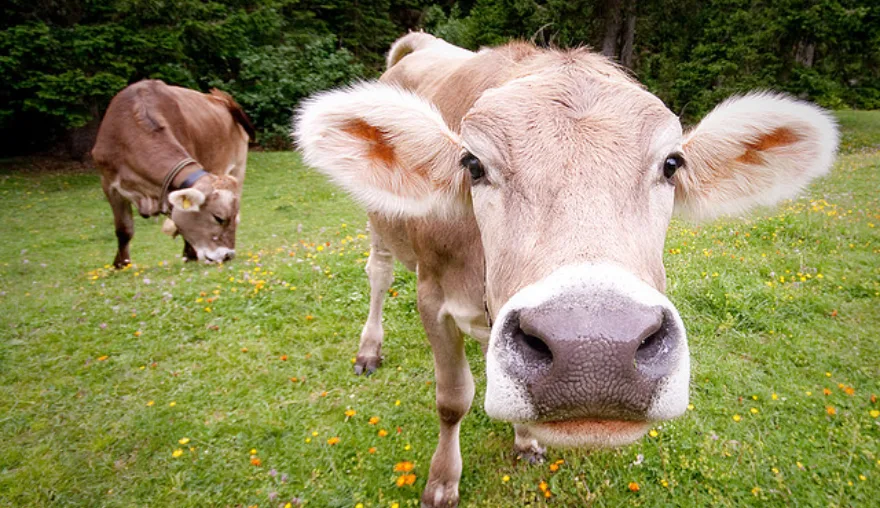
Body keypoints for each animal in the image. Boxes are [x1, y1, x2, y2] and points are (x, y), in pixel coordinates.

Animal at [92, 79, 254, 268]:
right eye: (218, 217)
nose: (228, 255)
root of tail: (222, 99)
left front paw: (189, 255)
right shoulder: (108, 184)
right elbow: (124, 229)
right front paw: (121, 264)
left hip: (239, 168)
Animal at [294, 33, 838, 507]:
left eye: (671, 164)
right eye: (473, 165)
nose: (595, 353)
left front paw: (526, 439)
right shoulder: (433, 298)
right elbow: (452, 400)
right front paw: (442, 482)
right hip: (377, 222)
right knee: (379, 275)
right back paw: (369, 349)